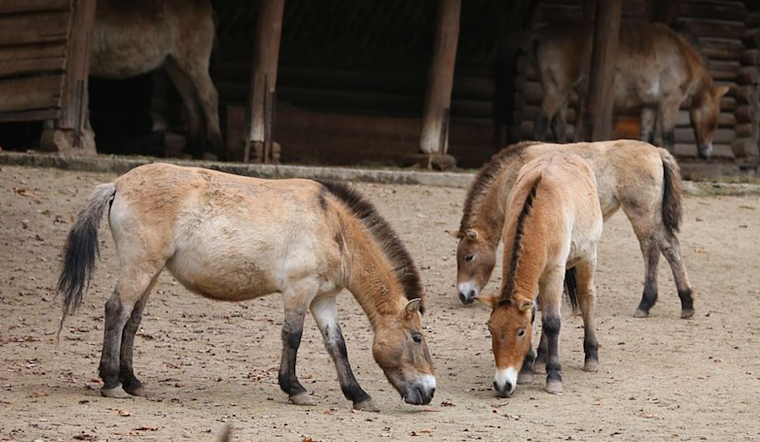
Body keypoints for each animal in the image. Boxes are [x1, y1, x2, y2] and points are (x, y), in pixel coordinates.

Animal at [57, 164, 436, 411]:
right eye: (416, 337)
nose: (430, 390)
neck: (333, 224)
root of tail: (118, 184)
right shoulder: (300, 290)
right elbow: (293, 337)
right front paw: (295, 389)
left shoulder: (324, 298)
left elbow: (336, 346)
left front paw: (359, 396)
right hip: (140, 267)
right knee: (117, 310)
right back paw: (111, 383)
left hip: (151, 272)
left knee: (132, 321)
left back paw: (132, 382)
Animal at [88, 0, 222, 159]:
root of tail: (206, 6)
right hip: (174, 65)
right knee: (191, 101)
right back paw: (189, 151)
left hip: (194, 62)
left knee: (208, 97)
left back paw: (211, 151)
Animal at [451, 140, 694, 319]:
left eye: (468, 256)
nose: (463, 295)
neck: (510, 174)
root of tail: (657, 152)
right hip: (654, 216)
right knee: (670, 246)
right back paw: (687, 303)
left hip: (641, 213)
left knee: (650, 250)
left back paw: (645, 303)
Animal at [475, 152, 603, 397]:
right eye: (490, 328)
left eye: (520, 332)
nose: (502, 385)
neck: (541, 213)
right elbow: (536, 314)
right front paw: (527, 369)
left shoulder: (555, 270)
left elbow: (553, 322)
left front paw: (554, 377)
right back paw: (541, 359)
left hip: (588, 257)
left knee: (587, 298)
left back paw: (591, 357)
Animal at [531, 22, 729, 159]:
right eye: (715, 123)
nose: (707, 153)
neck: (682, 55)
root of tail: (540, 35)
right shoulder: (670, 101)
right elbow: (668, 136)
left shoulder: (650, 105)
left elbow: (647, 136)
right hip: (557, 89)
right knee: (542, 121)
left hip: (563, 92)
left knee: (559, 125)